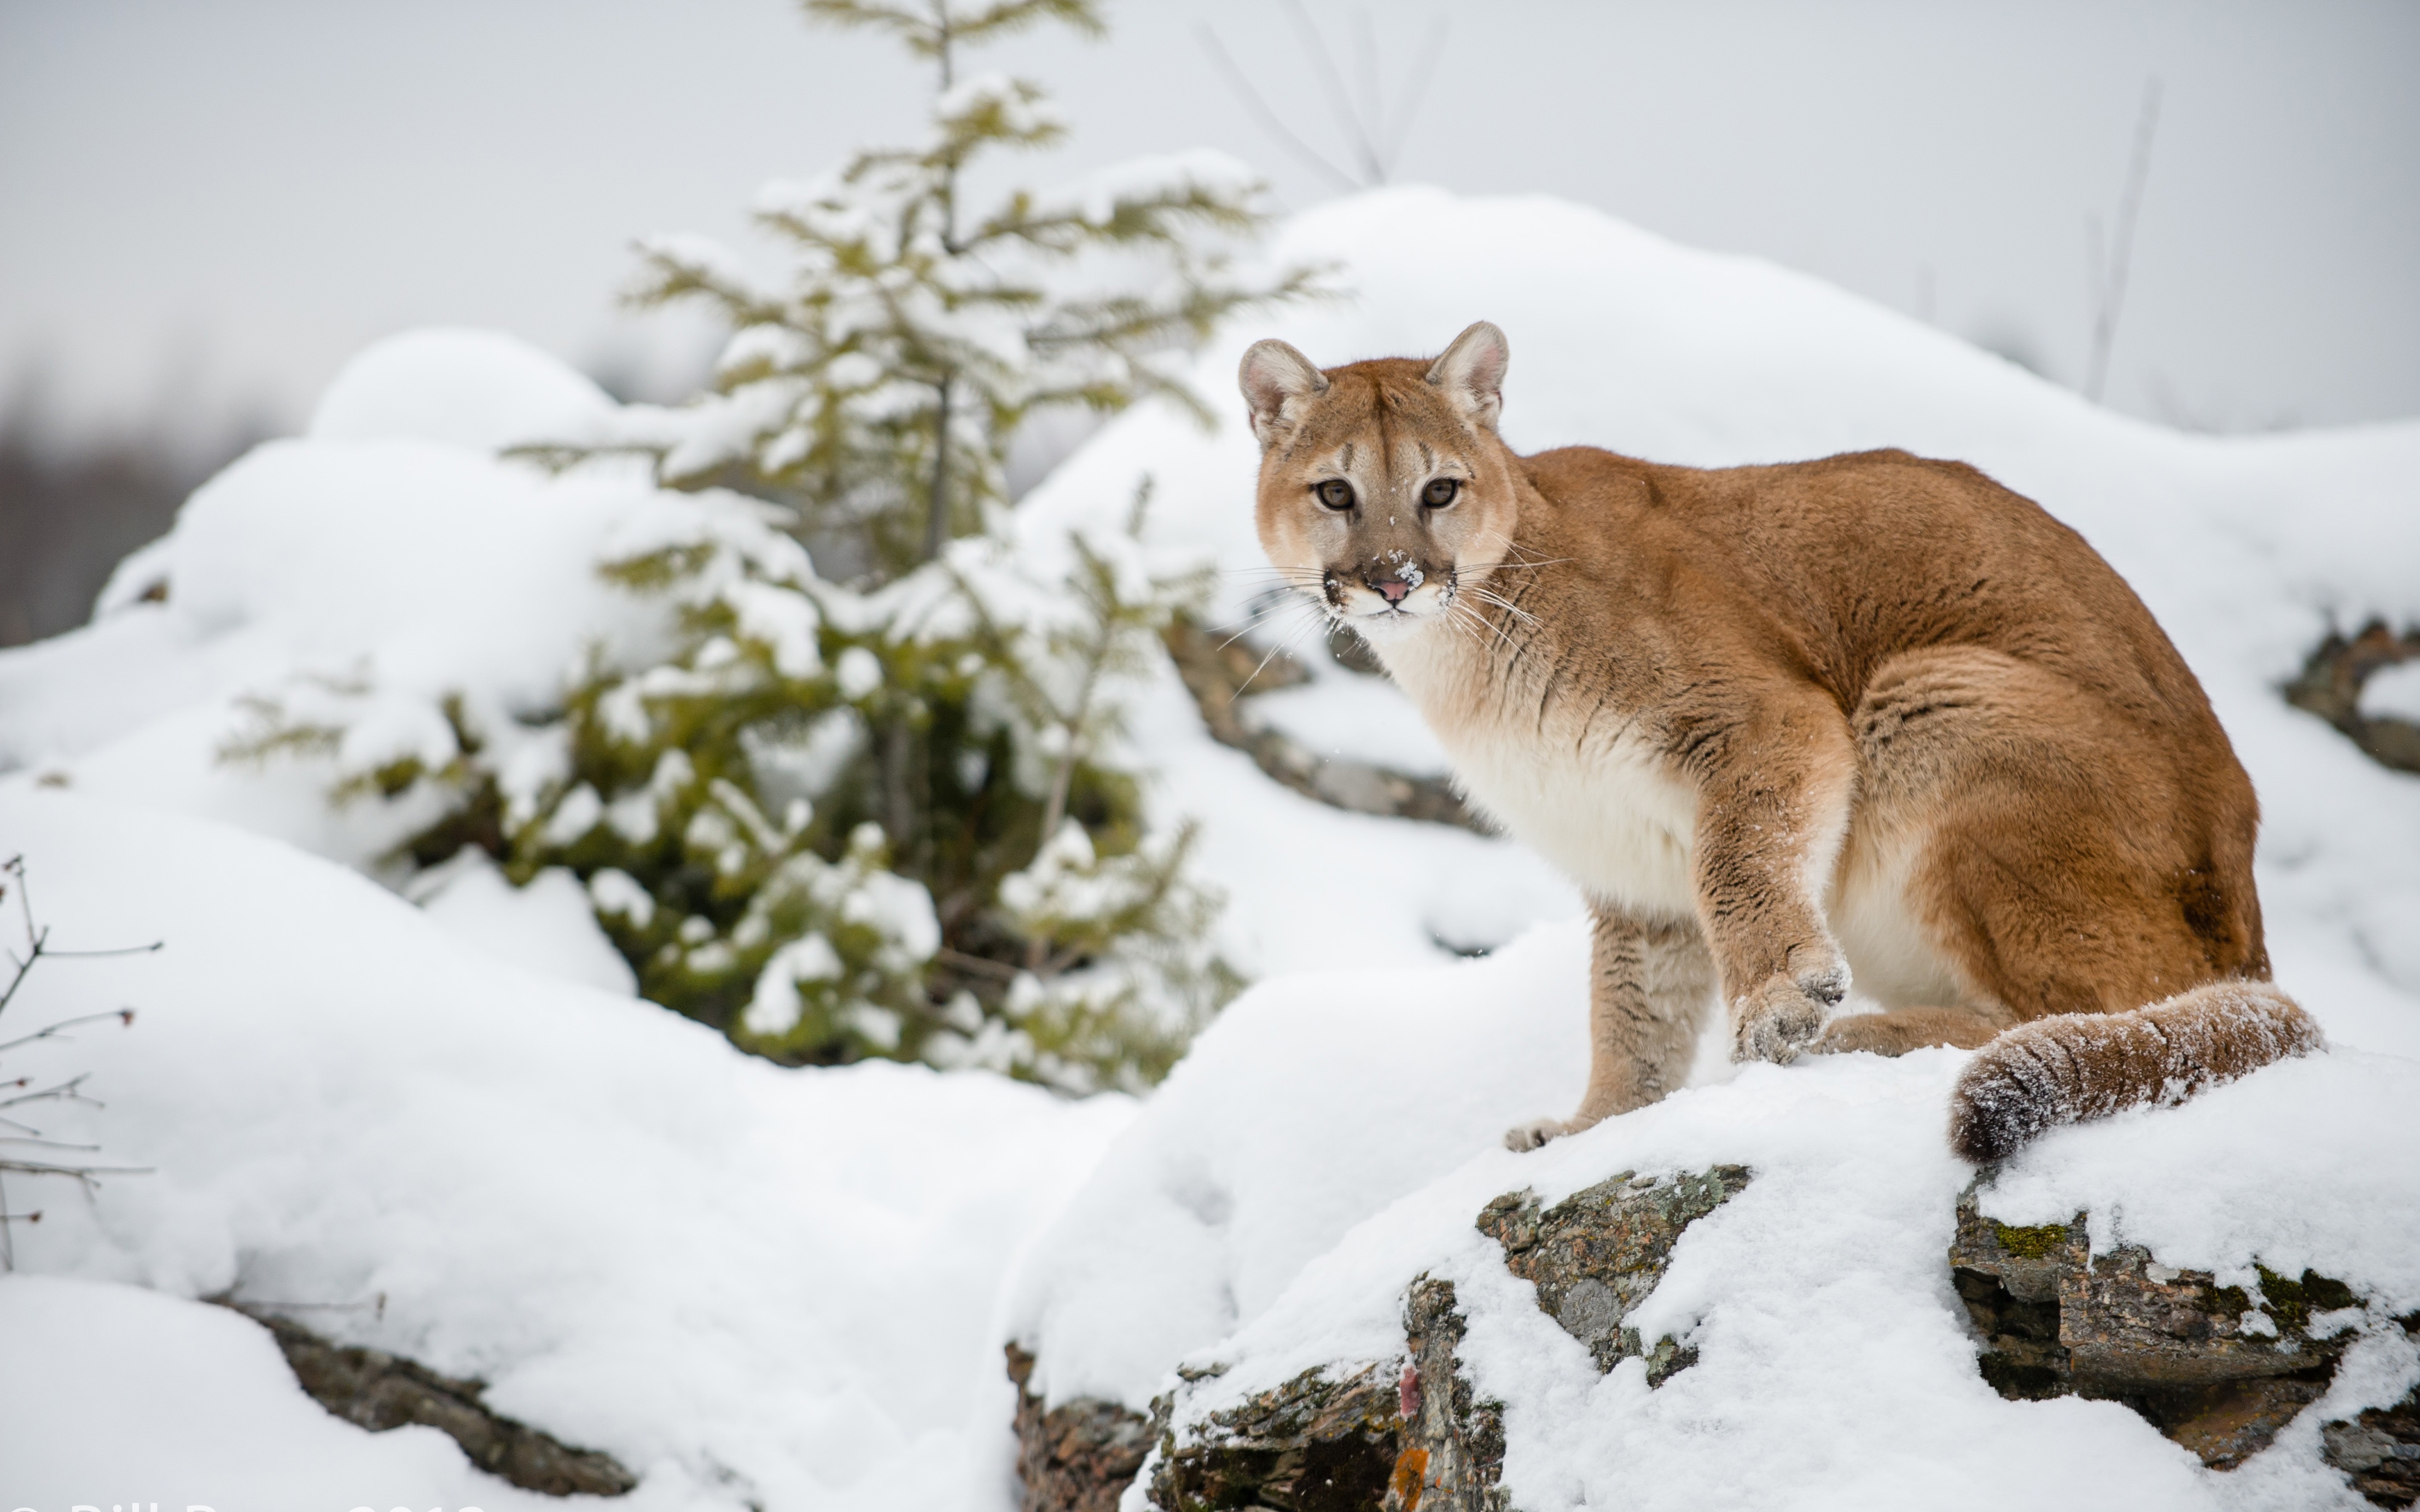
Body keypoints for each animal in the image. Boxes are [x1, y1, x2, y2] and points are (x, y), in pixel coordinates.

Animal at [1239, 319, 2313, 1156]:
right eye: (1335, 494)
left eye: (1440, 491)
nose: (1392, 579)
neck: (1464, 648)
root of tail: (2253, 930)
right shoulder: (1629, 863)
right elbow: (1629, 1011)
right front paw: (1597, 1128)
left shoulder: (1765, 719)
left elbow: (1741, 864)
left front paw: (1779, 1000)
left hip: (1935, 698)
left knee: (2088, 1008)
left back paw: (1864, 1037)